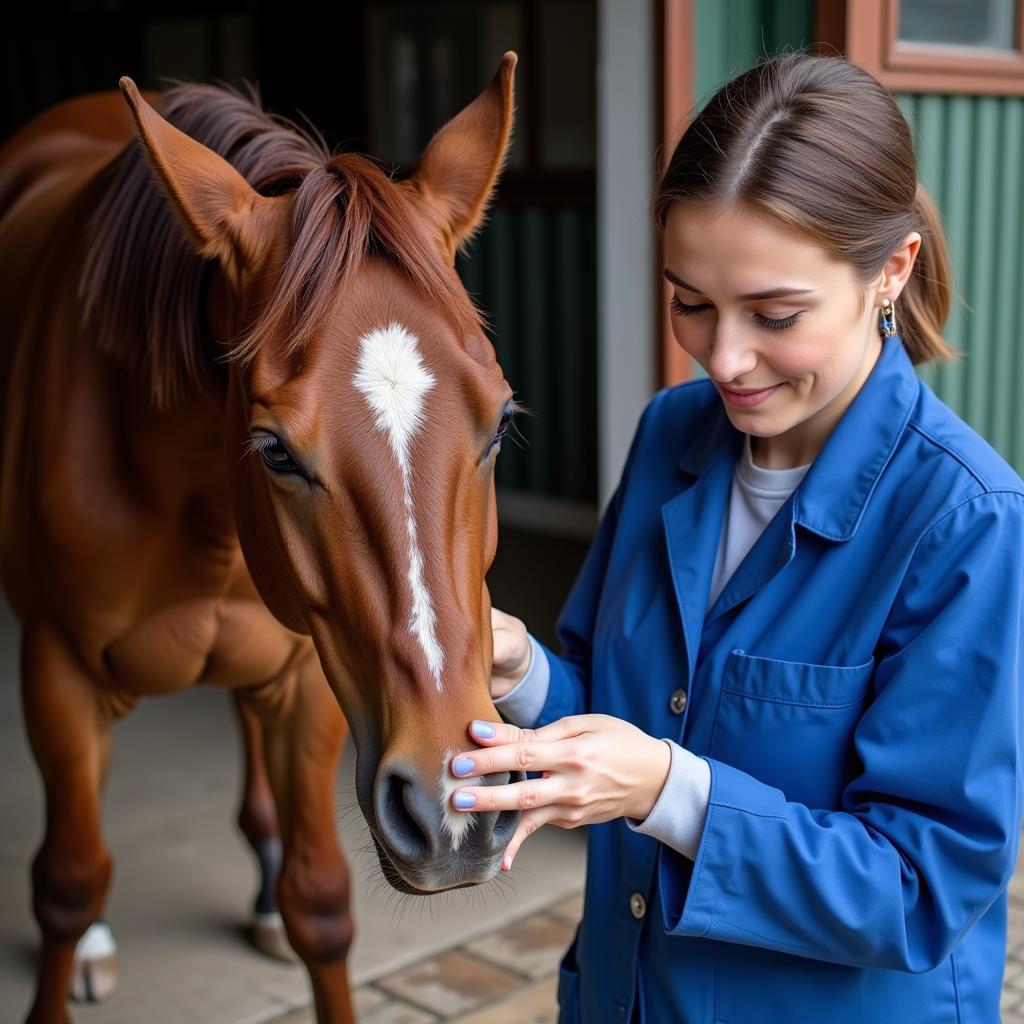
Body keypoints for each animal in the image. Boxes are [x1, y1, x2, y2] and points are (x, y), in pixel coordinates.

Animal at [0, 54, 524, 1024]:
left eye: (503, 422)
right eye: (274, 449)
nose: (454, 807)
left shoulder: (311, 677)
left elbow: (320, 902)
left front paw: (290, 901)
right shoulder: (55, 671)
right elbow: (67, 885)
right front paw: (77, 939)